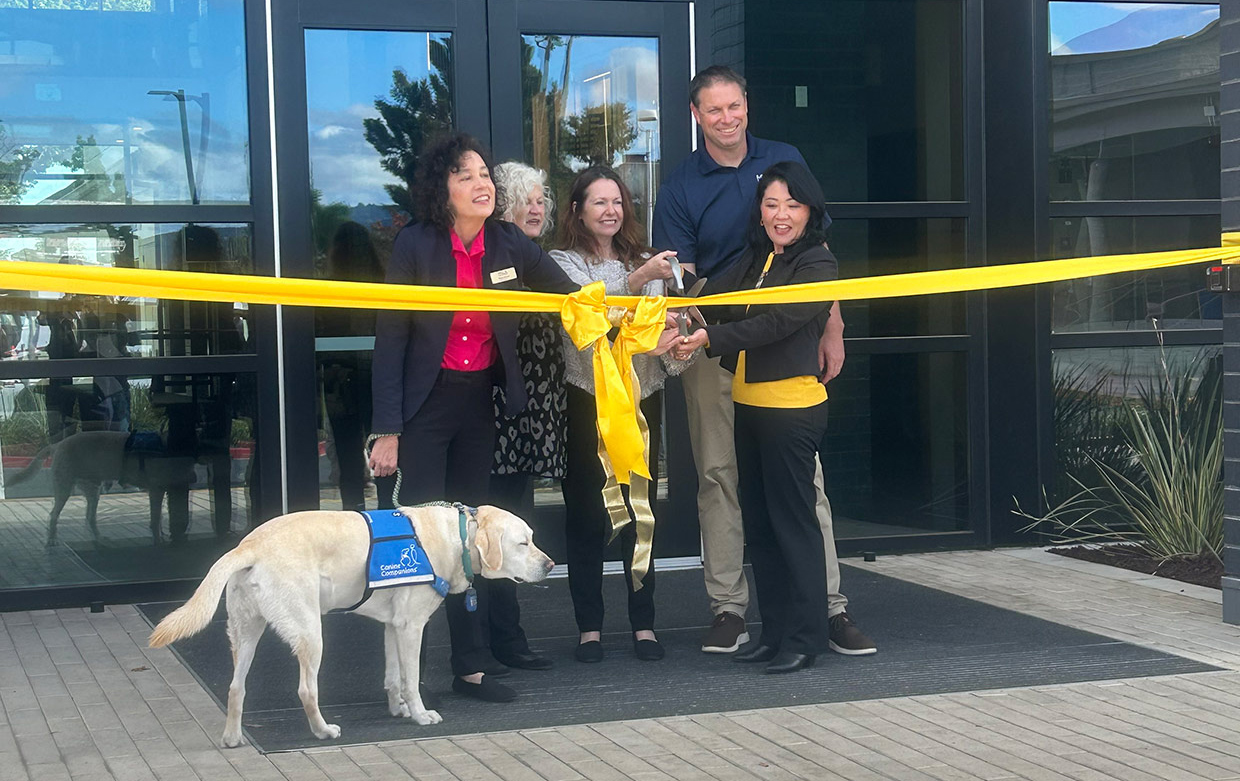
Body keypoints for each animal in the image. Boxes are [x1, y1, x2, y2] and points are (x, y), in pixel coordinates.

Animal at [146, 505, 553, 748]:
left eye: (533, 539)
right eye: (523, 543)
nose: (550, 565)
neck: (458, 537)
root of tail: (248, 545)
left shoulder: (393, 626)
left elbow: (393, 677)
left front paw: (398, 709)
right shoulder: (411, 626)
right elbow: (410, 680)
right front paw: (420, 715)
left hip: (246, 630)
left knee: (234, 687)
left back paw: (232, 737)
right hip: (310, 632)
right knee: (306, 689)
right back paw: (322, 730)